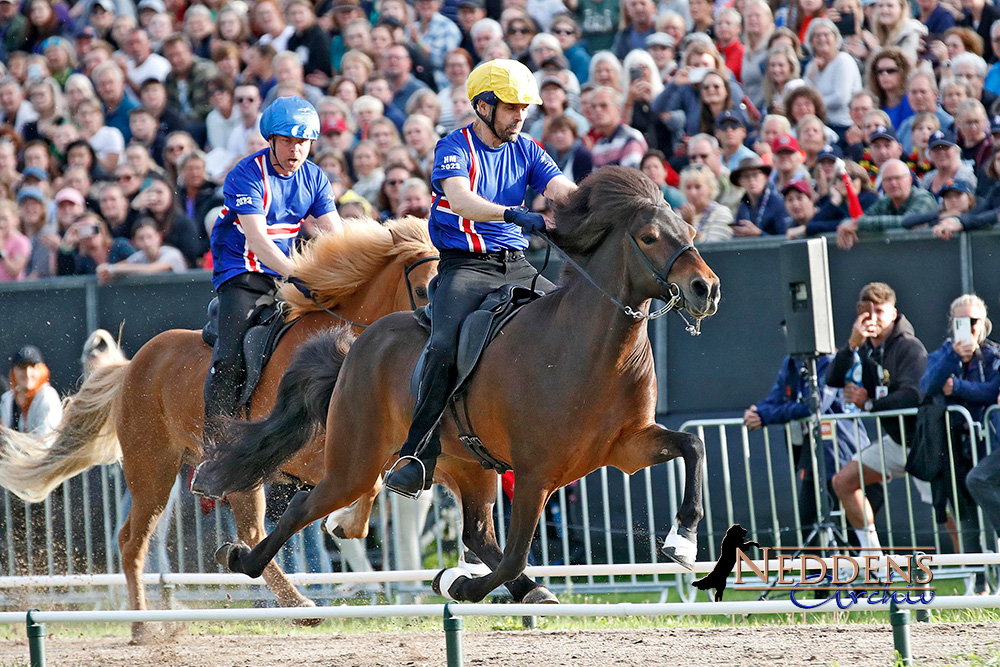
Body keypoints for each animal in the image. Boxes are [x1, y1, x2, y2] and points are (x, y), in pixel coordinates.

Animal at [0, 218, 438, 636]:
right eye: (422, 288)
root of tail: (131, 366)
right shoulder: (310, 455)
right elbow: (369, 480)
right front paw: (343, 519)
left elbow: (378, 480)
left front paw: (344, 522)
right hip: (153, 469)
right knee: (134, 541)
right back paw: (145, 625)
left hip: (221, 477)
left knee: (248, 533)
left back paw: (294, 604)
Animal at [203, 168, 720, 604]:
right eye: (649, 237)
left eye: (690, 233)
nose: (706, 289)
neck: (593, 350)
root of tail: (358, 343)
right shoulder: (535, 473)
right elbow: (515, 553)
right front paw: (468, 587)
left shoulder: (627, 447)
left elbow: (692, 445)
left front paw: (683, 541)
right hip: (357, 461)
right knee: (306, 504)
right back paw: (241, 558)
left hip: (469, 465)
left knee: (475, 533)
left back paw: (493, 583)